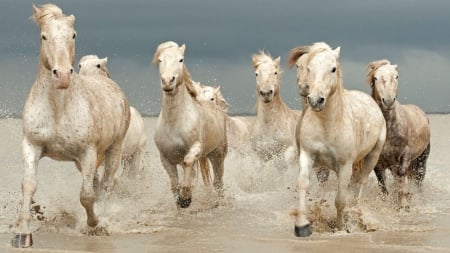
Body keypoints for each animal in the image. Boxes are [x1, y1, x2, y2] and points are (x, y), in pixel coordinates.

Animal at [153, 41, 229, 208]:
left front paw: (186, 198)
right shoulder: (165, 158)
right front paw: (180, 199)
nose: (167, 81)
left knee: (218, 183)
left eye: (181, 59)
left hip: (217, 156)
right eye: (160, 60)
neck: (174, 121)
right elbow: (175, 185)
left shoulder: (195, 148)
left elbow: (188, 161)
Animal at [296, 42, 386, 236]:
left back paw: (357, 214)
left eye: (333, 69)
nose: (315, 100)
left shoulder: (344, 166)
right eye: (309, 68)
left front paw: (340, 227)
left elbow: (340, 200)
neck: (327, 124)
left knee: (360, 184)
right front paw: (302, 226)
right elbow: (303, 184)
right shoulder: (307, 155)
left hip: (372, 157)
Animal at [368, 59, 430, 210]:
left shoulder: (406, 154)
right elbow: (382, 184)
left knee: (418, 180)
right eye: (376, 78)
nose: (388, 101)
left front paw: (404, 204)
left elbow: (401, 175)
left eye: (396, 76)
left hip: (421, 160)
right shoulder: (378, 162)